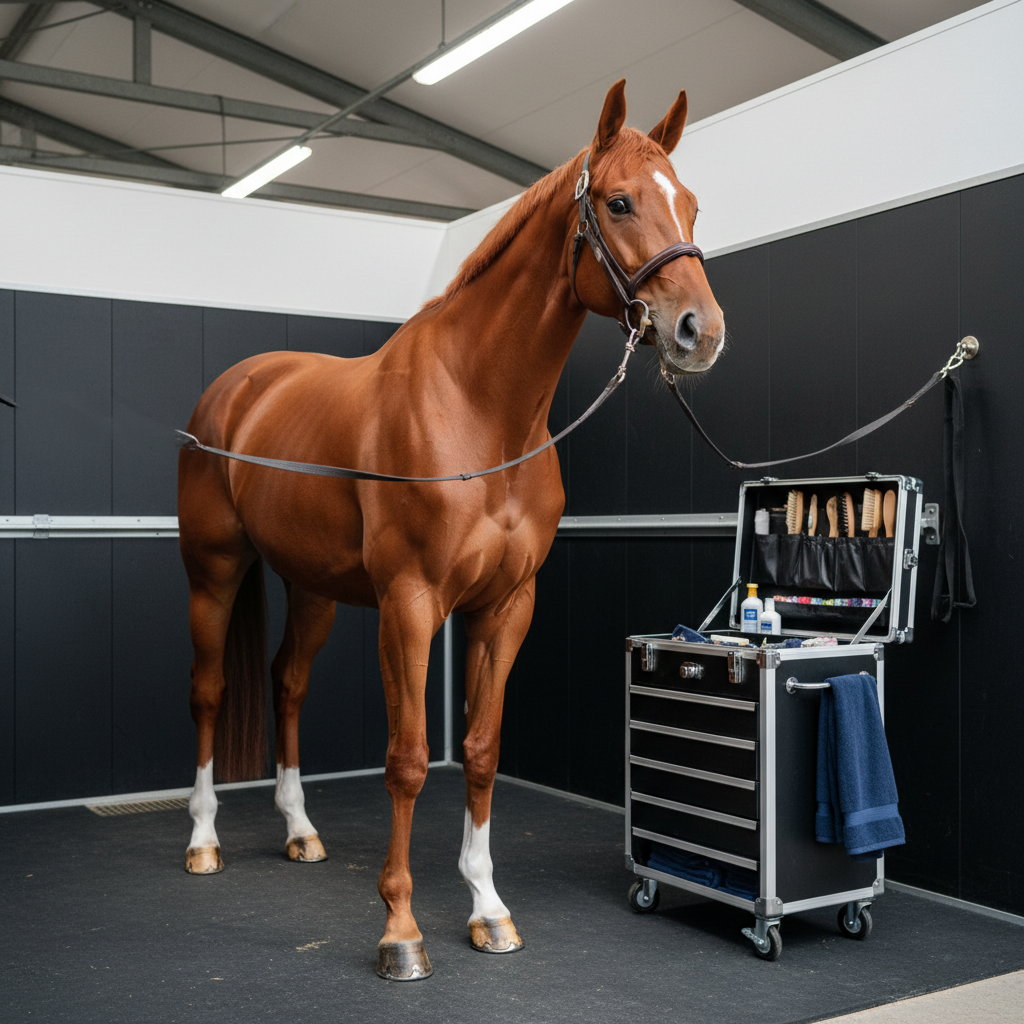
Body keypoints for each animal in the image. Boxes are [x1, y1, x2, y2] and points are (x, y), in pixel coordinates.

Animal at [177, 79, 725, 981]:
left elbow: (480, 748)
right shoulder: (410, 604)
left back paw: (300, 830)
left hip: (314, 588)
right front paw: (400, 930)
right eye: (618, 202)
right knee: (211, 690)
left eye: (691, 204)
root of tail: (236, 387)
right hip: (213, 572)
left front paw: (488, 908)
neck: (480, 410)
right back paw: (203, 839)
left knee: (287, 684)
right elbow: (406, 759)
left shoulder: (505, 607)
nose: (699, 332)